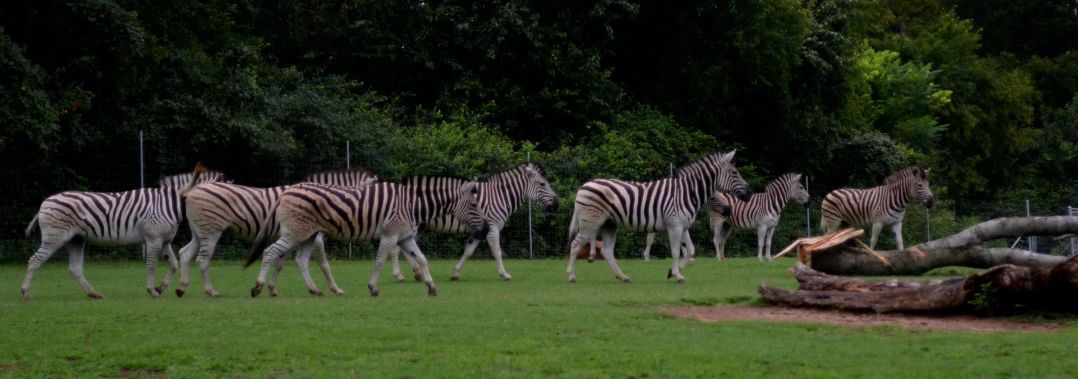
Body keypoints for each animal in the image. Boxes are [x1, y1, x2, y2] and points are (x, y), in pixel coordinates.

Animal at [20, 162, 223, 299]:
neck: (169, 203)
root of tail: (45, 202)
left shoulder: (164, 239)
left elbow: (173, 264)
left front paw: (161, 287)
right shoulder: (153, 237)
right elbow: (152, 265)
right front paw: (152, 290)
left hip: (75, 239)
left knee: (75, 268)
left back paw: (94, 294)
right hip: (54, 238)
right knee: (34, 261)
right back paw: (26, 292)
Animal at [172, 166, 379, 297]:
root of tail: (194, 189)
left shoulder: (295, 236)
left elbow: (280, 263)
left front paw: (271, 289)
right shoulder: (315, 236)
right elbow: (324, 265)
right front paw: (335, 289)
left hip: (199, 232)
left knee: (185, 253)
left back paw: (181, 288)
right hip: (211, 231)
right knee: (202, 260)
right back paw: (211, 291)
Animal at [243, 176, 489, 297]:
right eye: (474, 205)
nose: (486, 230)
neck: (413, 204)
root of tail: (287, 190)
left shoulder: (406, 237)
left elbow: (422, 259)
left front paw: (431, 287)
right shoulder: (390, 235)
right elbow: (380, 261)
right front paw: (373, 288)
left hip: (307, 235)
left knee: (300, 261)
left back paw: (315, 290)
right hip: (295, 233)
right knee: (270, 252)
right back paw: (258, 287)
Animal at [390, 161, 560, 282]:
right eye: (542, 184)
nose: (557, 204)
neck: (500, 196)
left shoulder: (480, 230)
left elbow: (468, 252)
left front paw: (455, 274)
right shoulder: (492, 229)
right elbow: (497, 252)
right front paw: (504, 274)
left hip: (420, 226)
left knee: (403, 249)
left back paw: (416, 272)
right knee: (396, 249)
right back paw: (400, 276)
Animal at [560, 149, 754, 282]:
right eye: (735, 173)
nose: (750, 193)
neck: (686, 193)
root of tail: (584, 185)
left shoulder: (683, 227)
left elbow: (690, 250)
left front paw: (672, 272)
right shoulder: (674, 226)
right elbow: (676, 252)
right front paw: (678, 276)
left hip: (609, 224)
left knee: (607, 251)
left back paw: (622, 277)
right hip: (590, 222)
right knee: (576, 245)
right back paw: (571, 276)